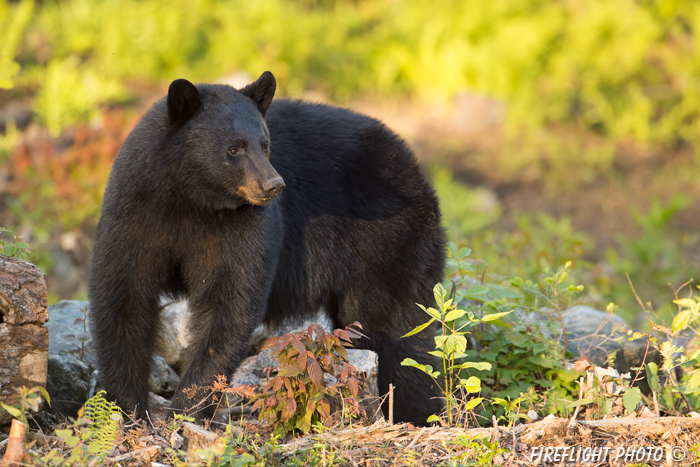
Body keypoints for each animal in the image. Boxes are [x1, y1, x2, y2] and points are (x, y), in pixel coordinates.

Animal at [89, 71, 442, 426]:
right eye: (233, 148)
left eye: (265, 143)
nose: (274, 185)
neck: (190, 201)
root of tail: (412, 163)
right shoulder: (136, 216)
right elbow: (124, 296)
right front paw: (127, 407)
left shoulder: (244, 227)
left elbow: (230, 302)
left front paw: (185, 408)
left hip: (388, 244)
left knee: (398, 333)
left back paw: (419, 412)